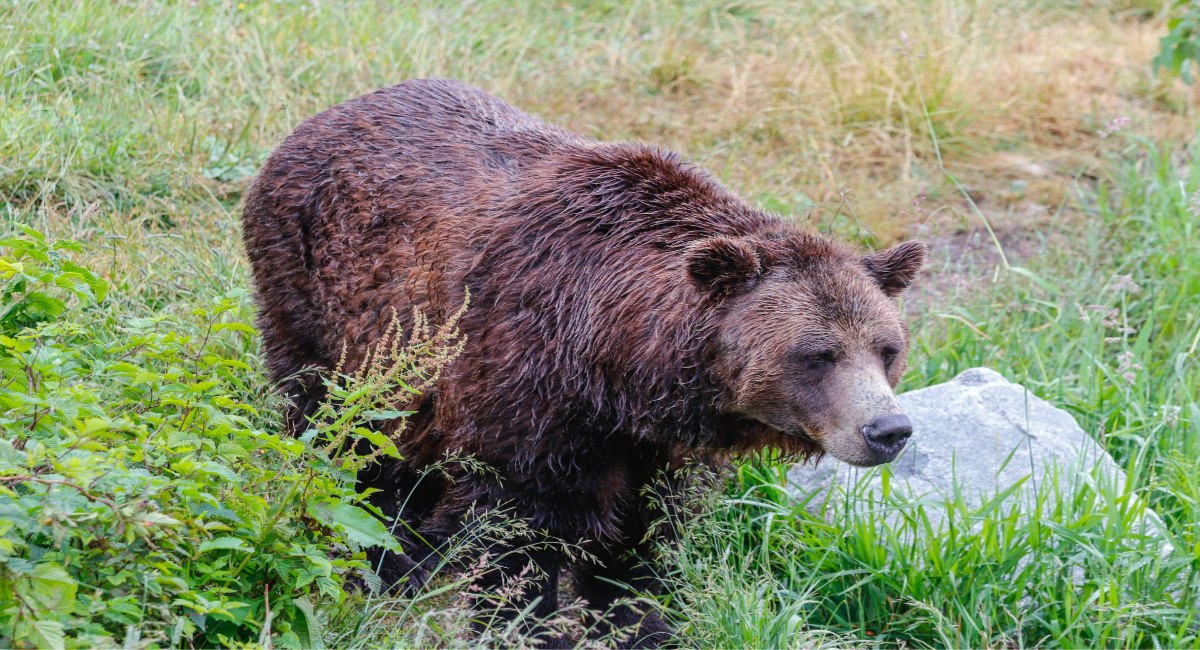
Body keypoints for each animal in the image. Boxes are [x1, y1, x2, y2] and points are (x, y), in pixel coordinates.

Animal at [241, 78, 926, 646]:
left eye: (887, 350)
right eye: (817, 355)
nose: (888, 430)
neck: (617, 366)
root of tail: (320, 118)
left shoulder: (651, 451)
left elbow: (642, 549)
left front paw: (642, 627)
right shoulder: (525, 390)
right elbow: (515, 538)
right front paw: (525, 625)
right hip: (322, 302)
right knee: (336, 427)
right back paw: (387, 561)